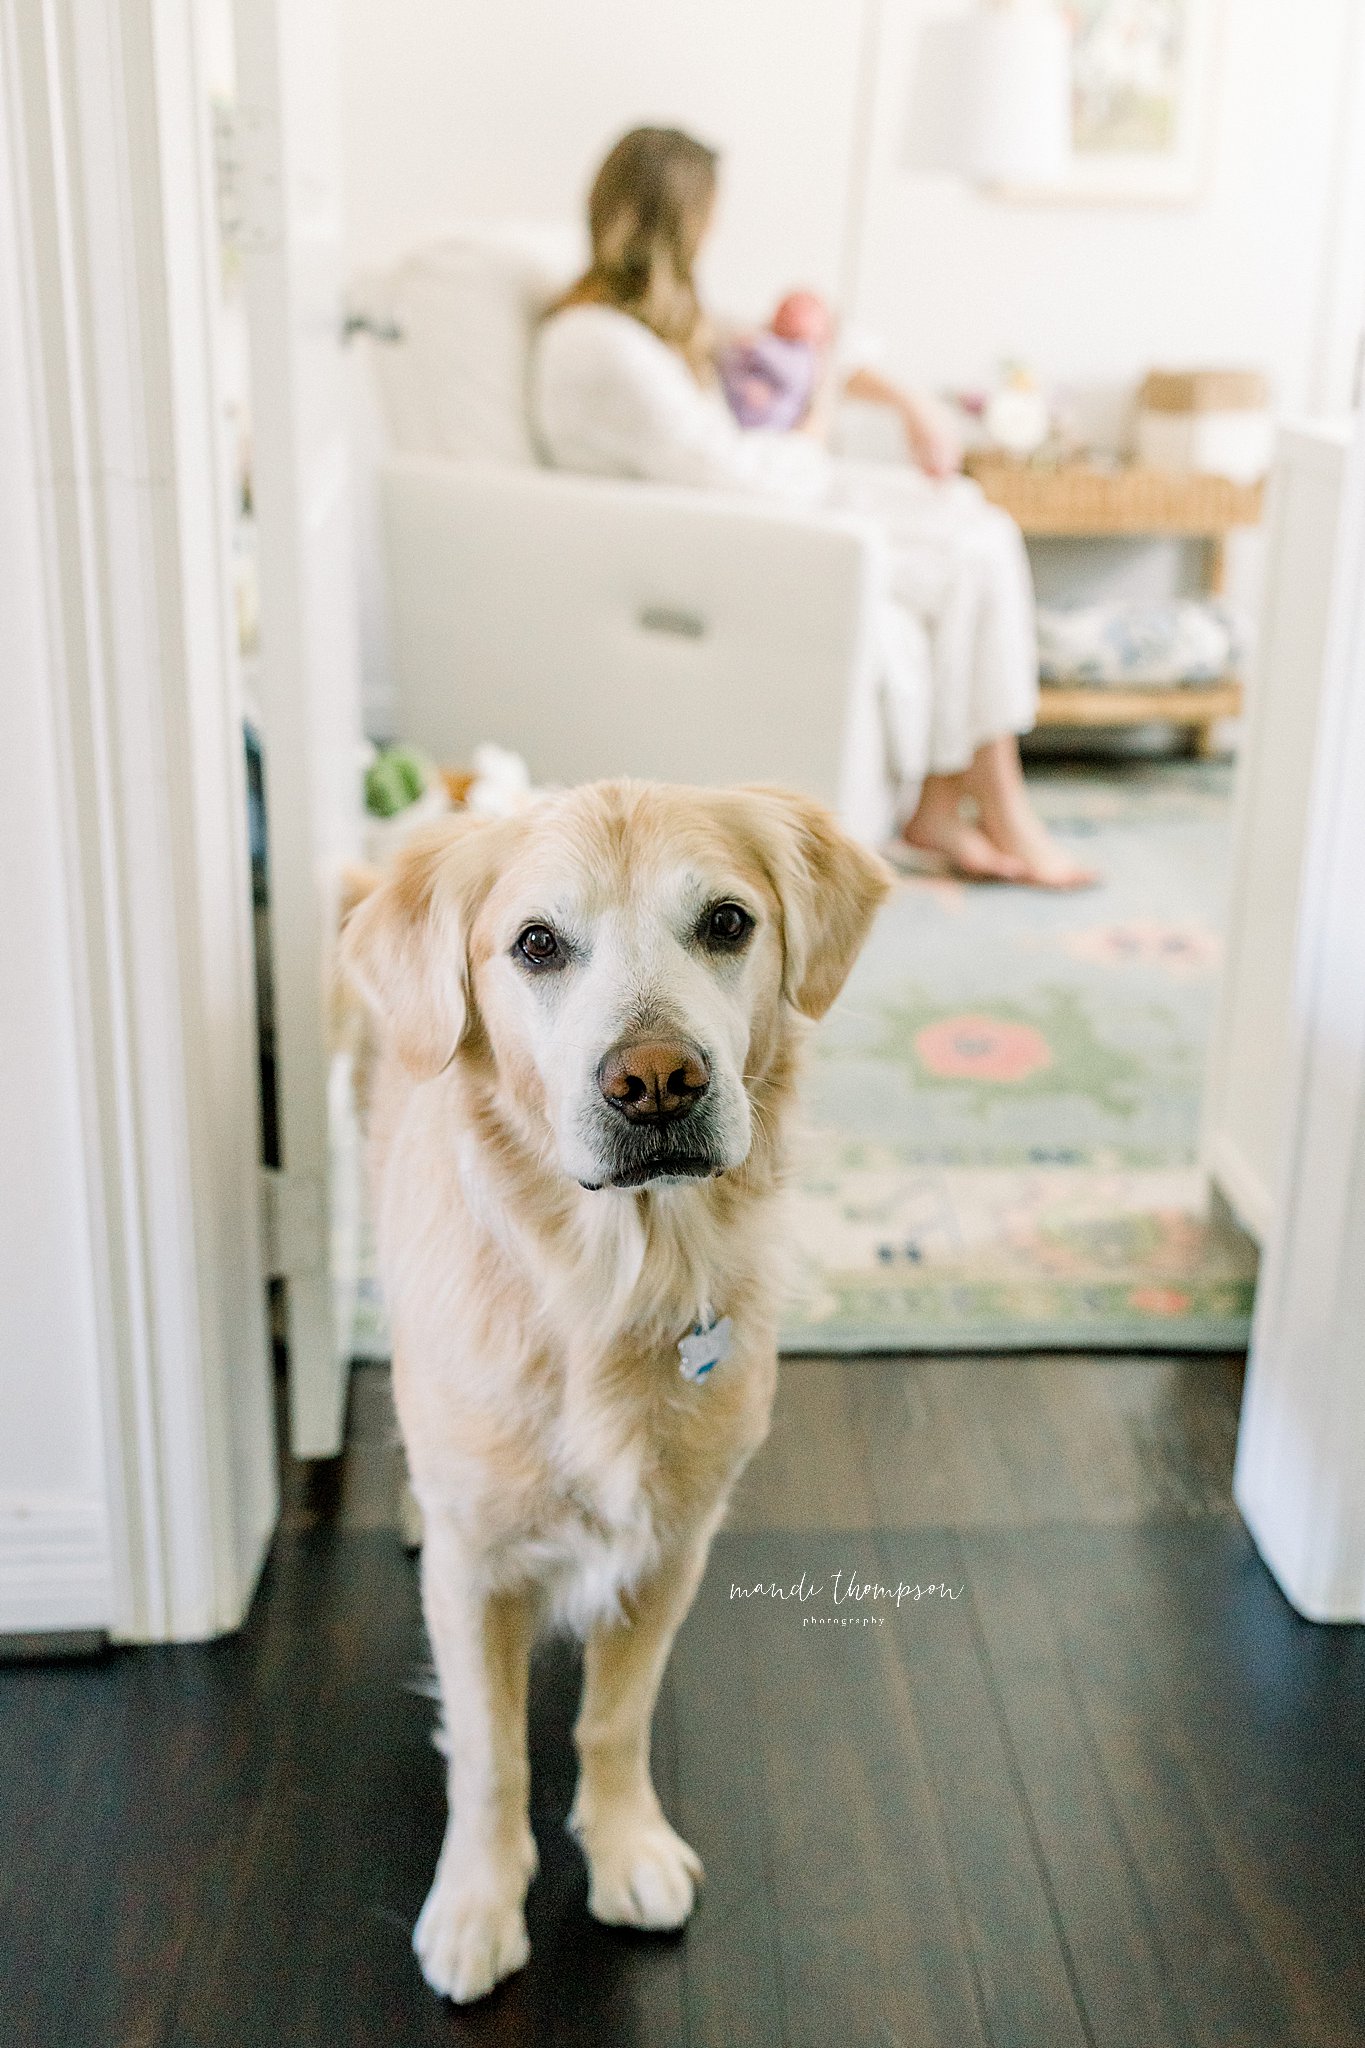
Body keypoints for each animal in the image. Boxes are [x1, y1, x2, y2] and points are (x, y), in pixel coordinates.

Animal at [341, 778, 892, 1998]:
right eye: (537, 943)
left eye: (727, 923)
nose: (655, 1082)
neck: (612, 1280)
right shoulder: (475, 1574)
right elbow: (490, 1752)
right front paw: (477, 1903)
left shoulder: (672, 1542)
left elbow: (614, 1720)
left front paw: (628, 1847)